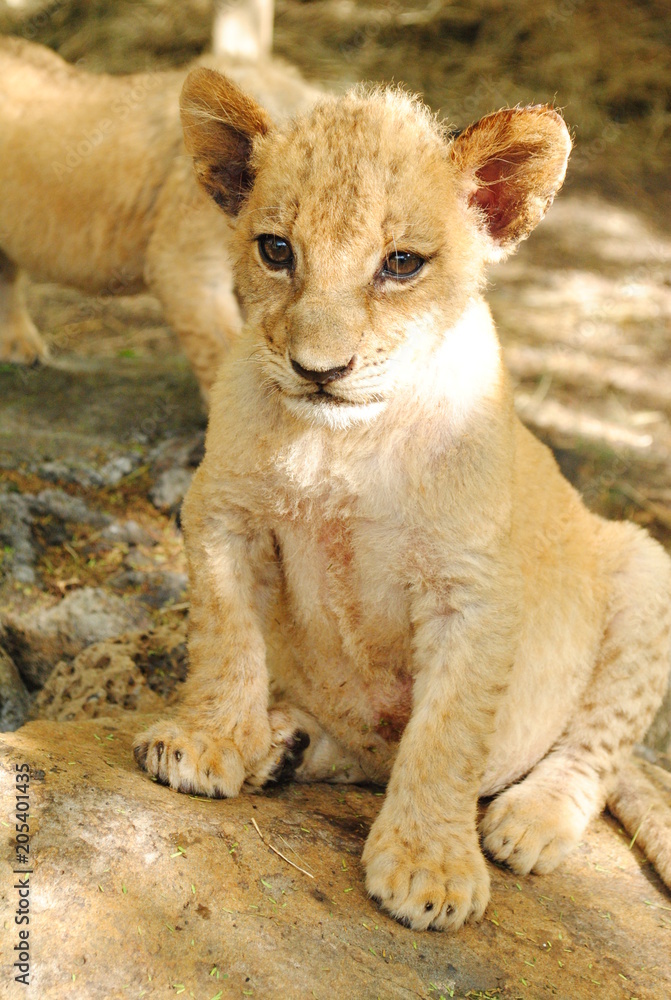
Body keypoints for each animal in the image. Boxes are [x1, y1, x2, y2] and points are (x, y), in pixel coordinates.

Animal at [134, 67, 671, 930]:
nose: (319, 370)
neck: (343, 444)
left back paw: (531, 820)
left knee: (596, 741)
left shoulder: (474, 587)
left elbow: (448, 731)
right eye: (276, 250)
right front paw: (204, 742)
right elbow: (224, 639)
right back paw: (280, 746)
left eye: (401, 263)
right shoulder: (222, 515)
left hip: (642, 562)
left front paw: (429, 868)